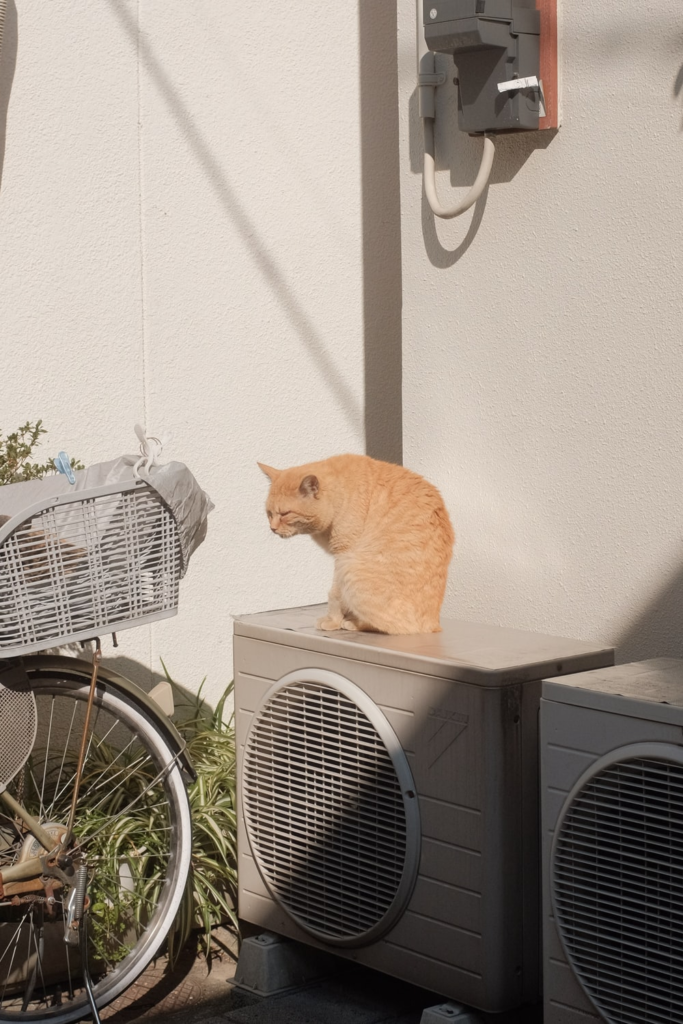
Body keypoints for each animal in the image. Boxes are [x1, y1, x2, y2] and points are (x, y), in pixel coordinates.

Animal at [255, 454, 454, 630]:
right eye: (269, 513)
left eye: (285, 513)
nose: (272, 528)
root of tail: (434, 625)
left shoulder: (342, 554)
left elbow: (335, 594)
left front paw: (332, 621)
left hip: (351, 566)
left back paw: (353, 623)